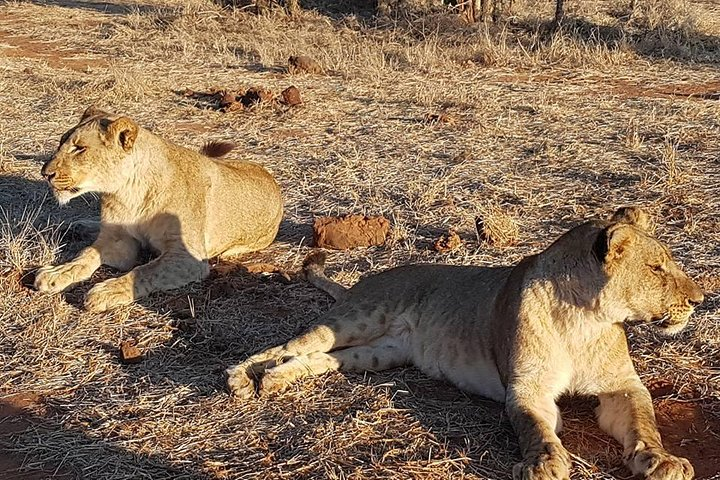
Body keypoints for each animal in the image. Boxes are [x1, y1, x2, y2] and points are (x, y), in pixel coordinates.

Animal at [35, 106, 284, 312]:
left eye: (79, 148)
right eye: (61, 142)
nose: (45, 173)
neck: (128, 192)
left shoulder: (188, 258)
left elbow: (143, 271)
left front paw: (106, 291)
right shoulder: (118, 241)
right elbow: (86, 254)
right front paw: (57, 272)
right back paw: (78, 226)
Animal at [229, 207, 704, 480]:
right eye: (657, 268)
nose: (699, 299)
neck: (586, 320)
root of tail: (367, 280)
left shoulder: (623, 386)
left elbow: (644, 422)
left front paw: (662, 461)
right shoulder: (526, 389)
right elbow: (536, 429)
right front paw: (544, 463)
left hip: (376, 354)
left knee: (319, 358)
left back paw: (277, 380)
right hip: (357, 319)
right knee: (287, 346)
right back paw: (243, 379)